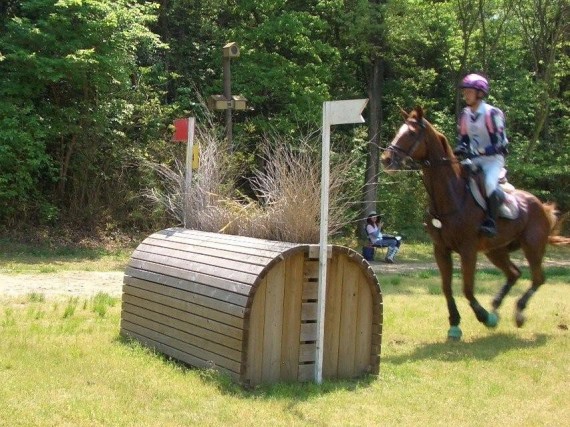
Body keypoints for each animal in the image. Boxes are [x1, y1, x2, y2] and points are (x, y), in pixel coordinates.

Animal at [380, 106, 564, 342]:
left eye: (411, 133)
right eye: (398, 131)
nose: (386, 159)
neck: (451, 196)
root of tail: (541, 205)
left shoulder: (468, 249)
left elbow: (467, 288)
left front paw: (483, 317)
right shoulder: (441, 249)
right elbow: (447, 287)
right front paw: (455, 324)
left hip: (532, 246)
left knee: (538, 278)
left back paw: (517, 313)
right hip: (495, 250)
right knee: (514, 273)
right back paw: (496, 307)